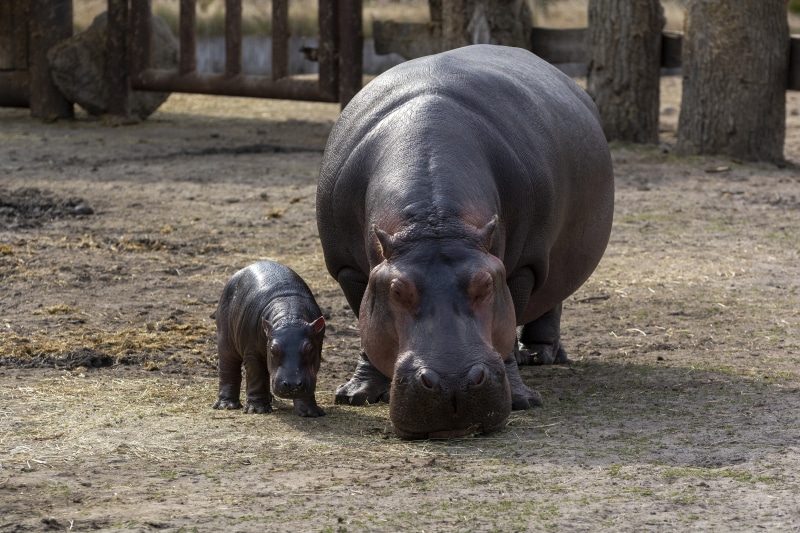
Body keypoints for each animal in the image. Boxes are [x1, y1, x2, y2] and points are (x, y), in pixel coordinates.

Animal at [213, 260, 326, 417]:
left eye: (310, 349)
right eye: (273, 349)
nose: (292, 384)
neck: (290, 316)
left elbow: (309, 380)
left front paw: (310, 412)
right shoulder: (252, 353)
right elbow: (256, 377)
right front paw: (257, 410)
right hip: (226, 340)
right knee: (228, 367)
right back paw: (227, 405)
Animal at [316, 44, 614, 439]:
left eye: (485, 284)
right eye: (396, 290)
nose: (452, 383)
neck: (436, 223)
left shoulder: (523, 266)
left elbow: (510, 324)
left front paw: (522, 400)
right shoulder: (347, 267)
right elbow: (365, 325)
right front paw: (356, 395)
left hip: (553, 255)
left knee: (553, 297)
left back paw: (539, 356)